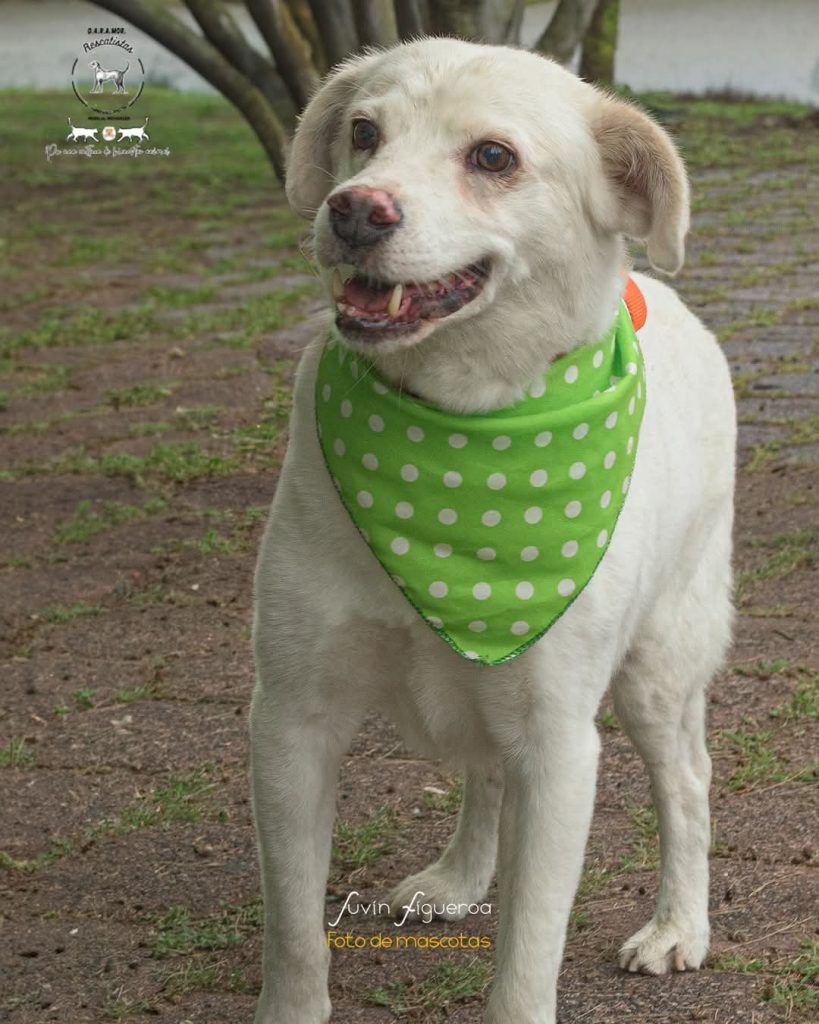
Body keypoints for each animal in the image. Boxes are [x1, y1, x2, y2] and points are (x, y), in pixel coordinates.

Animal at [251, 38, 736, 1024]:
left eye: (492, 157)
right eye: (365, 132)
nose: (352, 209)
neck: (458, 433)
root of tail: (662, 296)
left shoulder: (558, 746)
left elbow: (526, 956)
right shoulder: (290, 717)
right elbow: (294, 934)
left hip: (657, 669)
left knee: (686, 785)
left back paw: (678, 924)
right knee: (484, 773)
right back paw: (460, 874)